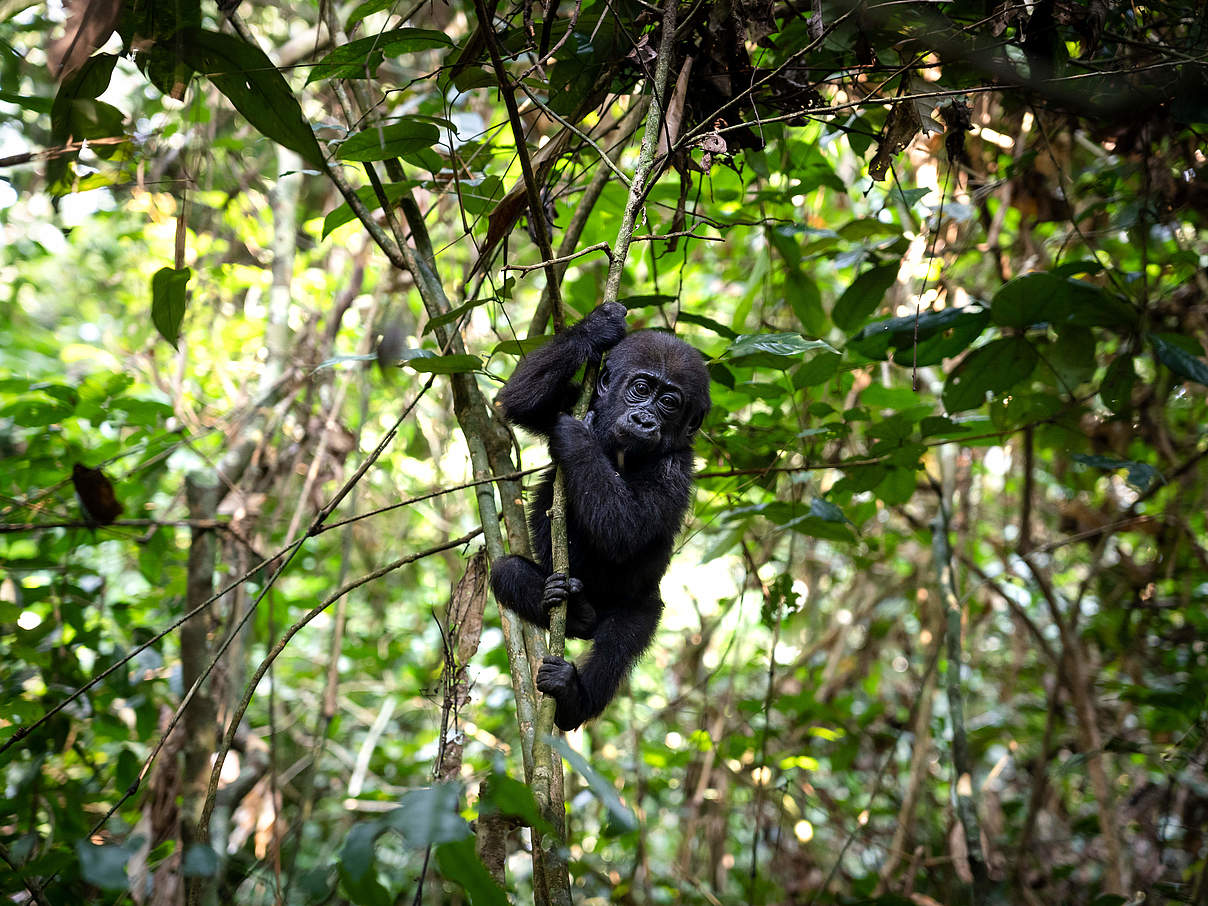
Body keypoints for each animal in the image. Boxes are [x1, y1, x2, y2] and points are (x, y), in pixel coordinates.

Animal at [488, 303, 705, 729]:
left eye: (669, 402)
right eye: (641, 389)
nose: (644, 420)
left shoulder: (677, 467)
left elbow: (625, 530)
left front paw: (577, 438)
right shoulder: (574, 400)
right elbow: (515, 401)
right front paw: (598, 326)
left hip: (639, 605)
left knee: (617, 642)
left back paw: (572, 696)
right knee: (506, 571)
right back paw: (571, 608)